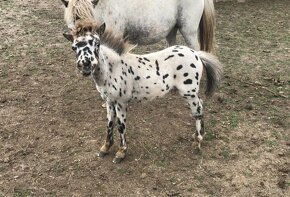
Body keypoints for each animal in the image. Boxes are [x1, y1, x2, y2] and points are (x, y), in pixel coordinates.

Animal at [63, 19, 222, 163]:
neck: (113, 69)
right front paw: (105, 148)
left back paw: (198, 142)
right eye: (73, 47)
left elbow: (121, 126)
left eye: (97, 43)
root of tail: (196, 54)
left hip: (189, 92)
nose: (85, 65)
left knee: (198, 110)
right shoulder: (109, 101)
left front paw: (121, 153)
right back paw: (197, 136)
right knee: (200, 107)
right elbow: (109, 123)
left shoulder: (121, 102)